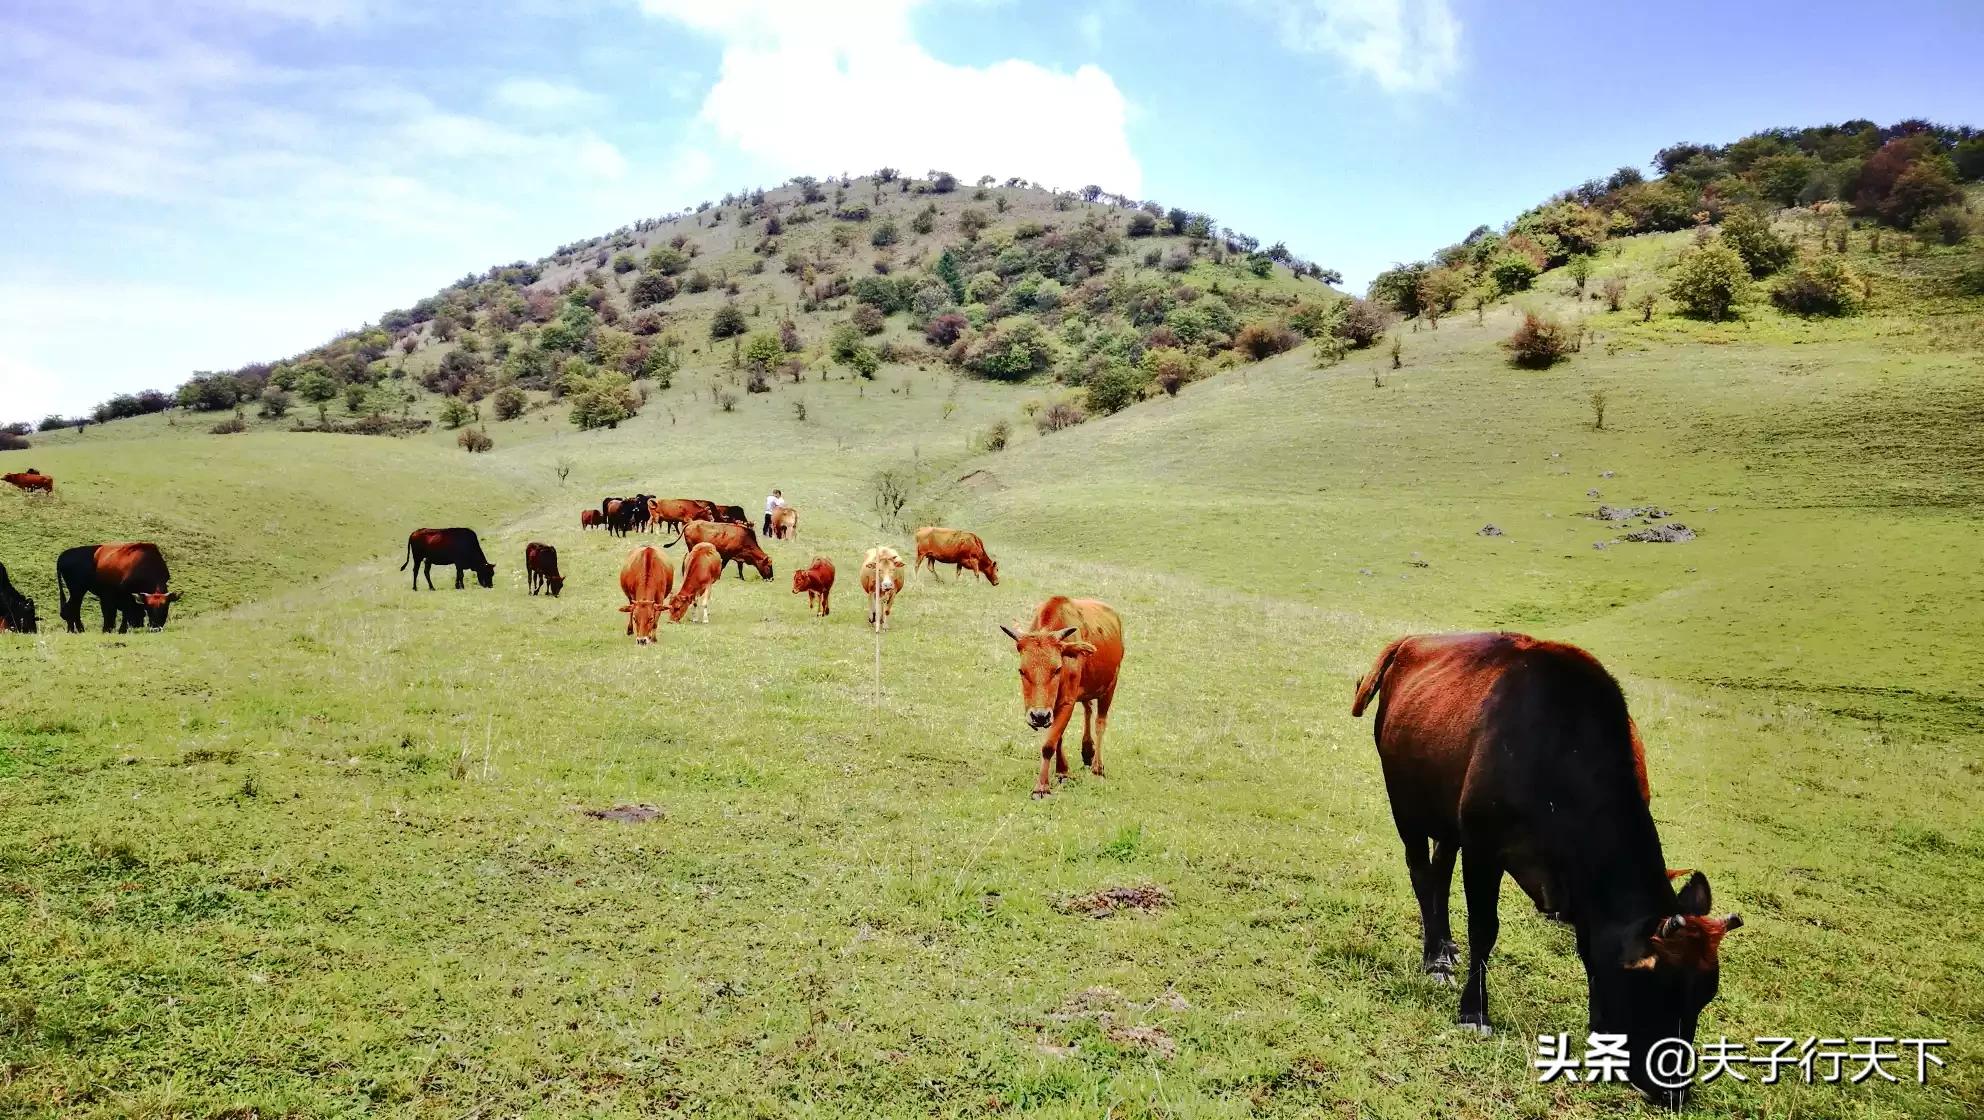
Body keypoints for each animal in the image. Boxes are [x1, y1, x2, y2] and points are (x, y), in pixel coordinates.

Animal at [999, 594, 1126, 792]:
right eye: (1021, 671)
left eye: (1057, 669)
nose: (1038, 716)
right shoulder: (1053, 708)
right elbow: (1057, 737)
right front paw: (1062, 772)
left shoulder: (1067, 702)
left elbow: (1049, 744)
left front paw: (1041, 788)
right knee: (1088, 709)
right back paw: (1087, 751)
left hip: (1110, 687)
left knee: (1100, 723)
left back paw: (1097, 768)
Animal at [1349, 630, 1737, 1110]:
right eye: (1652, 983)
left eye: (1706, 994)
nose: (1675, 1091)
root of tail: (1410, 641)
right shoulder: (1483, 847)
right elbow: (1485, 929)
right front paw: (1474, 1011)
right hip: (1407, 808)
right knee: (1422, 874)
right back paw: (1435, 956)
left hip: (1447, 819)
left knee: (1439, 872)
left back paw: (1446, 945)